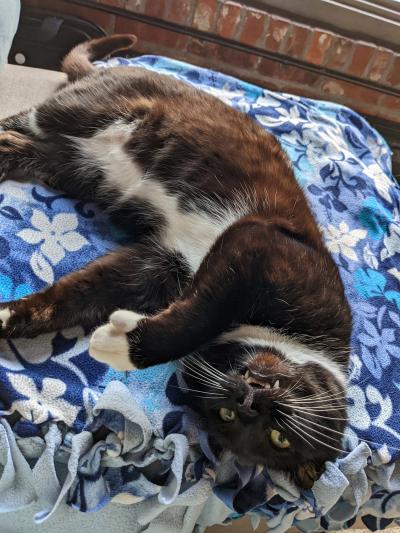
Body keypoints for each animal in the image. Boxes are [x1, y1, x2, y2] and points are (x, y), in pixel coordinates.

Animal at [0, 35, 350, 488]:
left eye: (275, 438)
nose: (250, 400)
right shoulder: (259, 243)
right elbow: (198, 317)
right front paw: (120, 347)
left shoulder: (157, 266)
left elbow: (75, 296)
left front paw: (10, 316)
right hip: (85, 111)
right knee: (24, 119)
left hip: (66, 162)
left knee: (16, 145)